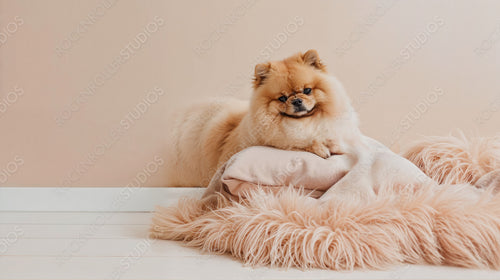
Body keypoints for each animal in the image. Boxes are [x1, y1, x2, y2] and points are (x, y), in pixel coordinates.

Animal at [166, 49, 362, 187]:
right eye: (282, 98)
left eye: (307, 90)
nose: (297, 100)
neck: (304, 121)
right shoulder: (284, 141)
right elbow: (302, 143)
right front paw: (321, 149)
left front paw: (332, 145)